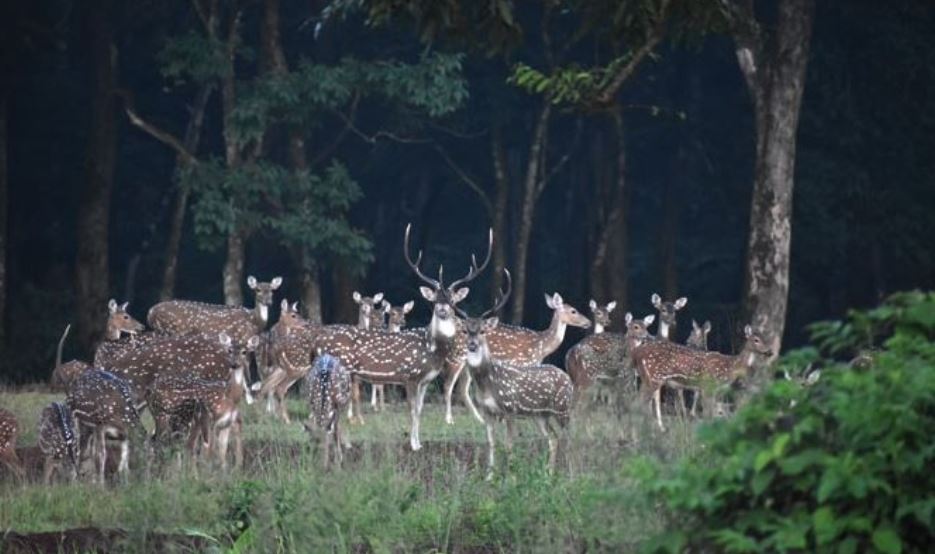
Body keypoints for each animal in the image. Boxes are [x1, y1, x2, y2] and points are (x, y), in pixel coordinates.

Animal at [312, 223, 494, 448]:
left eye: (452, 300)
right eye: (435, 300)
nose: (442, 310)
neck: (432, 350)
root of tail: (318, 340)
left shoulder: (425, 380)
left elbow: (420, 410)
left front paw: (418, 442)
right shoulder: (410, 375)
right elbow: (413, 410)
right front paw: (414, 445)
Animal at [444, 288, 588, 422]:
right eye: (573, 311)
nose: (588, 322)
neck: (541, 346)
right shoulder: (521, 362)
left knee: (463, 388)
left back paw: (479, 419)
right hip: (456, 356)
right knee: (449, 385)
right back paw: (449, 420)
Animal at [458, 270, 576, 472]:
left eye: (482, 331)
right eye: (465, 330)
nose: (472, 345)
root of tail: (567, 377)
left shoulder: (509, 408)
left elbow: (509, 445)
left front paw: (510, 474)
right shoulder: (487, 412)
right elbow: (491, 443)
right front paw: (490, 475)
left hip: (563, 407)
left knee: (568, 437)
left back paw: (571, 473)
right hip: (540, 415)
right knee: (553, 438)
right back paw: (548, 473)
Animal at [628, 324, 776, 432]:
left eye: (766, 338)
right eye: (756, 340)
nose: (769, 351)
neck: (730, 368)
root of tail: (636, 354)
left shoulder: (714, 390)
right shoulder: (707, 386)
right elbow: (708, 415)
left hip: (647, 378)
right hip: (654, 377)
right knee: (637, 403)